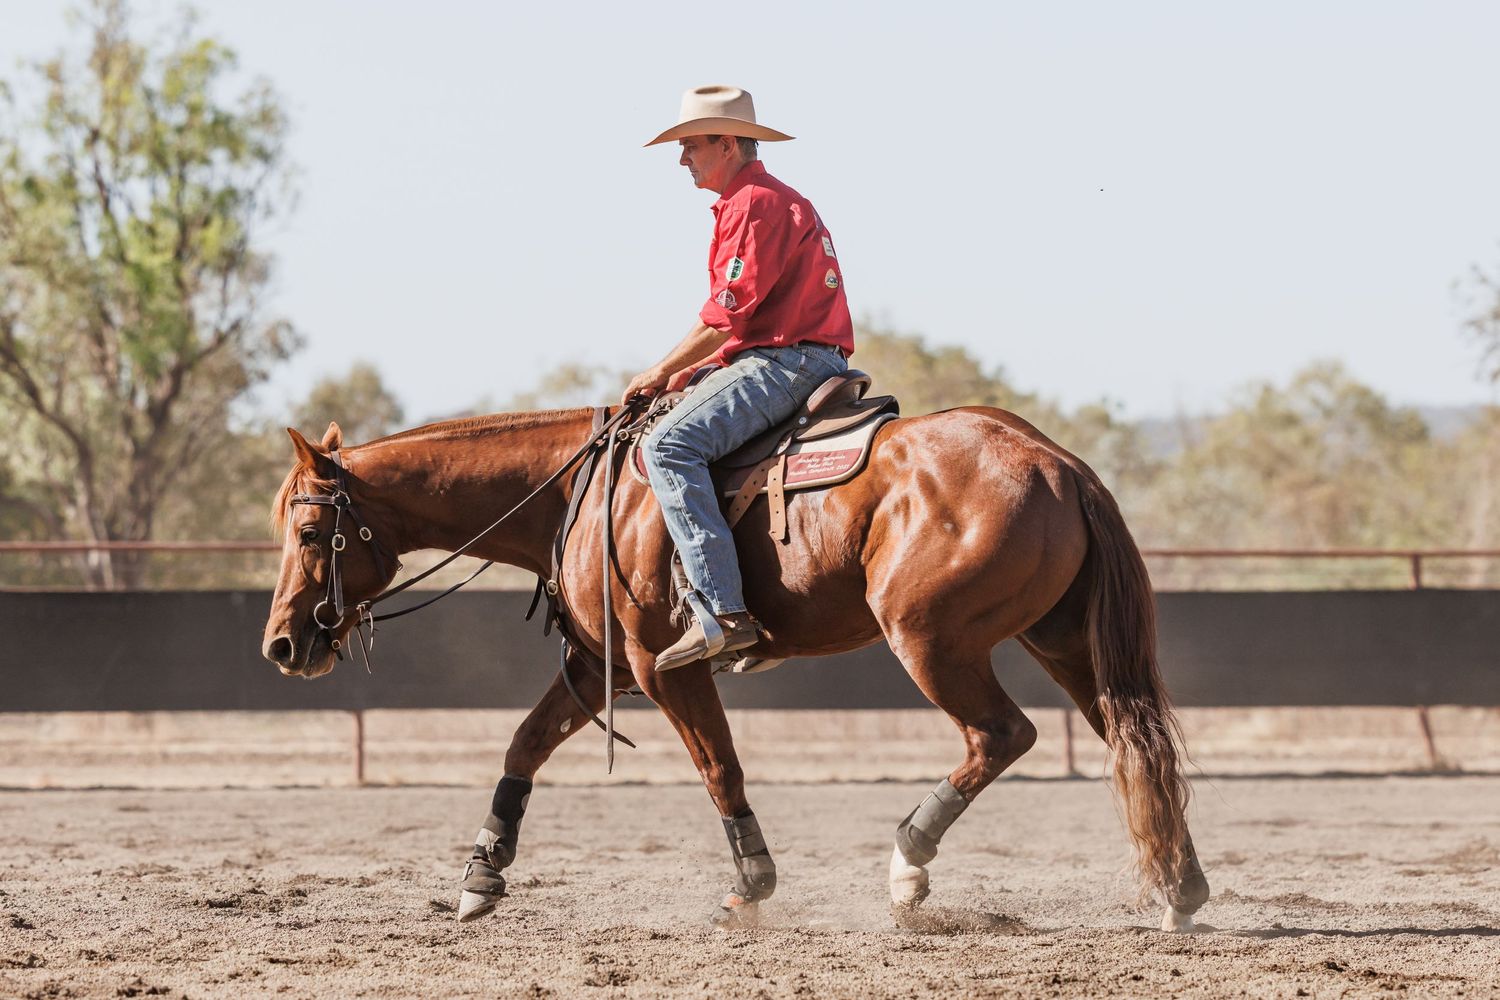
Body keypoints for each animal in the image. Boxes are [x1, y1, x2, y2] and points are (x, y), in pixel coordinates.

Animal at [262, 404, 1211, 932]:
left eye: (309, 532)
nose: (281, 646)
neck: (585, 494)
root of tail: (1058, 464)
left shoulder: (664, 669)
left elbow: (720, 767)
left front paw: (752, 888)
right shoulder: (597, 668)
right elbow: (522, 747)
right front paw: (480, 876)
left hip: (933, 641)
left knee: (999, 736)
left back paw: (907, 866)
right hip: (1066, 645)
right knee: (1134, 748)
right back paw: (1180, 892)